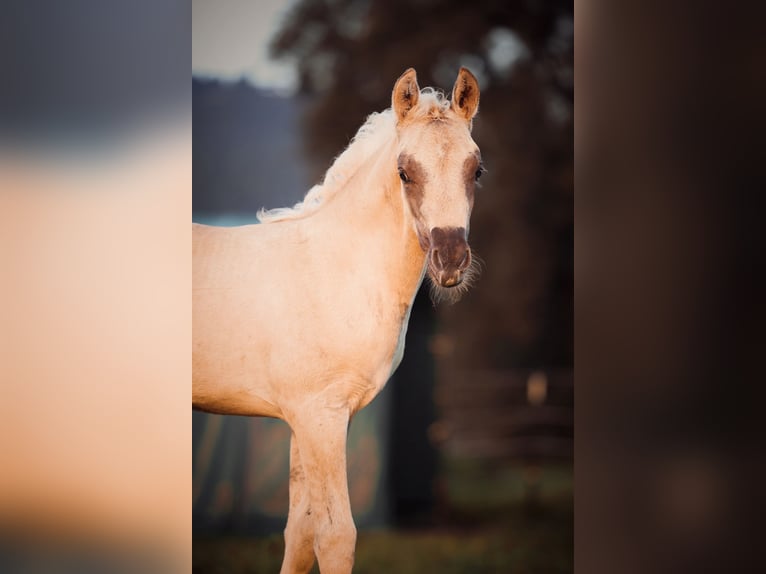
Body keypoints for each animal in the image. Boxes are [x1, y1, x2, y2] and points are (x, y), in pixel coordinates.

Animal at [193, 67, 483, 573]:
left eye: (476, 169)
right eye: (404, 171)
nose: (450, 260)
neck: (335, 269)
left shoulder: (311, 420)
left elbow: (300, 532)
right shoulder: (320, 416)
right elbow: (334, 535)